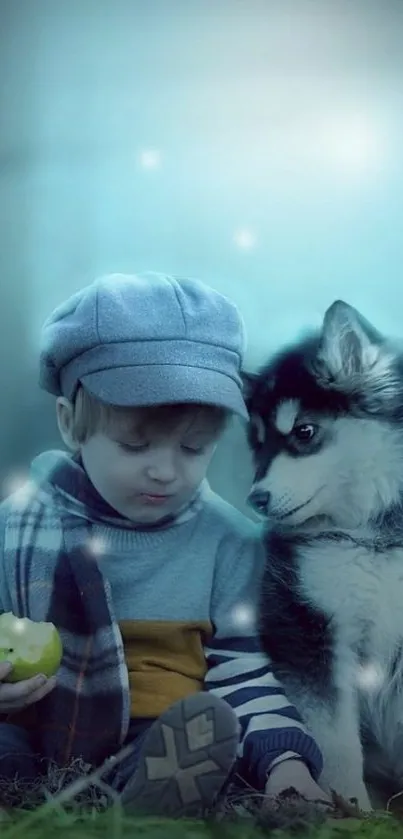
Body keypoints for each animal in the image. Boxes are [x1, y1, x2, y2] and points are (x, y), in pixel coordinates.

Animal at [243, 300, 403, 808]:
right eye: (258, 444)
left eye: (305, 431)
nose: (256, 499)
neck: (373, 535)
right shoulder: (309, 628)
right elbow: (333, 738)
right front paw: (347, 807)